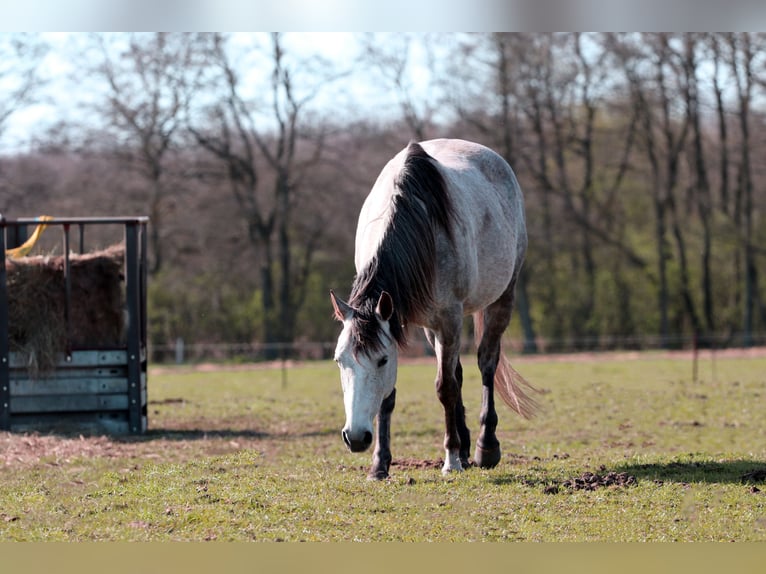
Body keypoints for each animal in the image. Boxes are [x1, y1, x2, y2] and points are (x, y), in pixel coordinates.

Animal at [332, 140, 540, 482]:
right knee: (458, 372)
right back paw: (467, 447)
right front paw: (379, 465)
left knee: (486, 364)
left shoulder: (448, 318)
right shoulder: (404, 320)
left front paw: (451, 459)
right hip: (433, 327)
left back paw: (484, 447)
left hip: (500, 299)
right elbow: (391, 396)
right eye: (339, 360)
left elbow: (445, 388)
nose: (356, 438)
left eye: (382, 360)